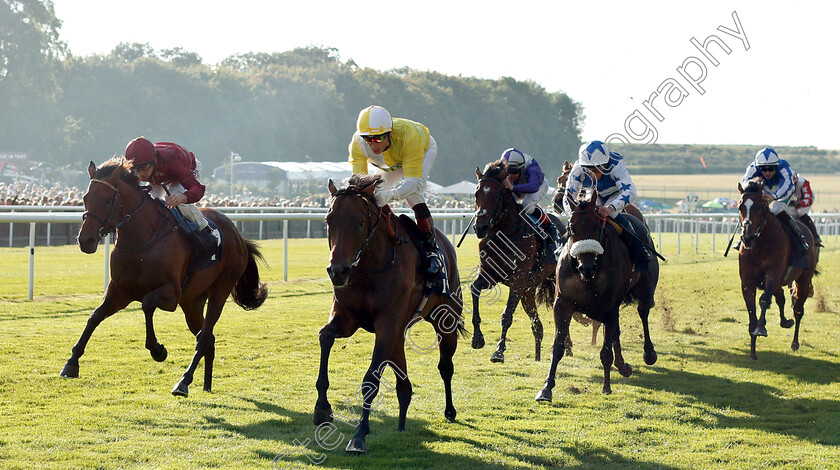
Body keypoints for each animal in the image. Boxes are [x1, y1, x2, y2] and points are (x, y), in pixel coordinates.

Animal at [62, 159, 266, 396]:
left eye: (106, 200)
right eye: (85, 198)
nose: (85, 240)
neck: (142, 241)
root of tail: (238, 236)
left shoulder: (171, 294)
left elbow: (147, 304)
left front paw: (158, 350)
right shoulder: (119, 292)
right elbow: (94, 316)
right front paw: (71, 362)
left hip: (220, 290)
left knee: (205, 336)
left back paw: (183, 382)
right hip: (192, 301)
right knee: (207, 337)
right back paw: (206, 384)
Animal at [314, 174, 462, 454]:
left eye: (360, 222)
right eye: (329, 220)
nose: (337, 270)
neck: (369, 266)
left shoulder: (387, 323)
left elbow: (371, 379)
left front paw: (359, 434)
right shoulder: (347, 318)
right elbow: (325, 336)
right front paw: (322, 409)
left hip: (445, 318)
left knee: (445, 366)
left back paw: (449, 410)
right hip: (400, 331)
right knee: (403, 377)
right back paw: (402, 421)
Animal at [470, 162, 588, 364]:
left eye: (495, 195)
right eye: (477, 193)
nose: (480, 227)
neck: (506, 232)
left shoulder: (517, 281)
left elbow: (507, 315)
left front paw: (499, 351)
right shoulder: (489, 274)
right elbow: (474, 288)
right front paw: (477, 338)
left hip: (549, 284)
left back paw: (566, 346)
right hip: (529, 291)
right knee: (538, 326)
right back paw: (541, 355)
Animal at [536, 189, 660, 398]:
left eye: (597, 224)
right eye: (571, 227)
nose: (587, 267)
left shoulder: (609, 307)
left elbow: (605, 351)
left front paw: (606, 387)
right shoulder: (562, 304)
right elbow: (558, 347)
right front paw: (546, 388)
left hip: (646, 287)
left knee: (643, 312)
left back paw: (648, 353)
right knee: (616, 331)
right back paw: (623, 366)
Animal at [740, 179, 816, 360]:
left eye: (760, 207)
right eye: (740, 207)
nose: (747, 237)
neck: (760, 245)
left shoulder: (774, 273)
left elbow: (764, 300)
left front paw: (761, 328)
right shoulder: (747, 280)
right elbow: (751, 308)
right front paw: (752, 351)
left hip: (804, 278)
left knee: (798, 309)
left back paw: (795, 342)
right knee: (781, 298)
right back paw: (785, 321)